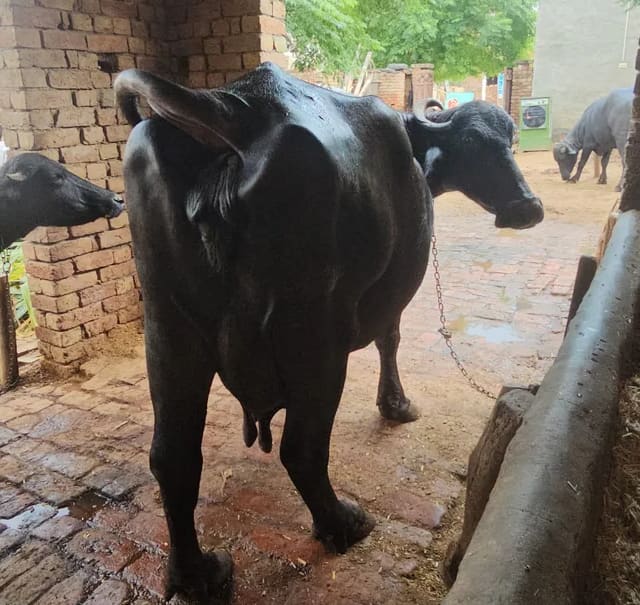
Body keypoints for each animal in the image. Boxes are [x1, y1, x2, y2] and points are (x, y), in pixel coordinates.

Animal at [115, 63, 542, 603]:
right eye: (475, 143)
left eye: (510, 138)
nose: (527, 207)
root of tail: (236, 108)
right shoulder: (386, 295)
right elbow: (390, 339)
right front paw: (397, 406)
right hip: (315, 334)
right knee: (302, 447)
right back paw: (345, 523)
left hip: (168, 328)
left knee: (172, 458)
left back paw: (200, 575)